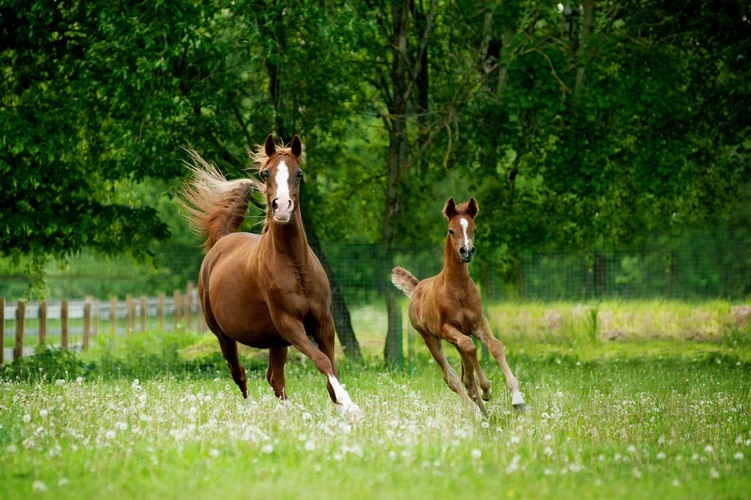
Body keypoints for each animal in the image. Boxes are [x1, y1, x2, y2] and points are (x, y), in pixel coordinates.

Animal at [178, 134, 362, 418]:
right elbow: (322, 361)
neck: (296, 267)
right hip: (224, 336)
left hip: (276, 340)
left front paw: (343, 406)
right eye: (265, 173)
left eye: (299, 173)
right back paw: (251, 409)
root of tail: (222, 240)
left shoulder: (324, 323)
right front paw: (350, 405)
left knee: (274, 377)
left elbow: (330, 365)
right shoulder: (290, 324)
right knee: (239, 373)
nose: (282, 206)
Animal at [390, 197, 524, 416]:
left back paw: (485, 414)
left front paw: (517, 399)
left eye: (474, 229)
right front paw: (486, 389)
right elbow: (470, 350)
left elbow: (495, 346)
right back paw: (476, 412)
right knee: (451, 377)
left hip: (458, 339)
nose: (467, 251)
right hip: (431, 338)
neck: (458, 289)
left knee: (466, 376)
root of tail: (417, 287)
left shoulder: (478, 322)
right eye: (451, 230)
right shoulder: (447, 328)